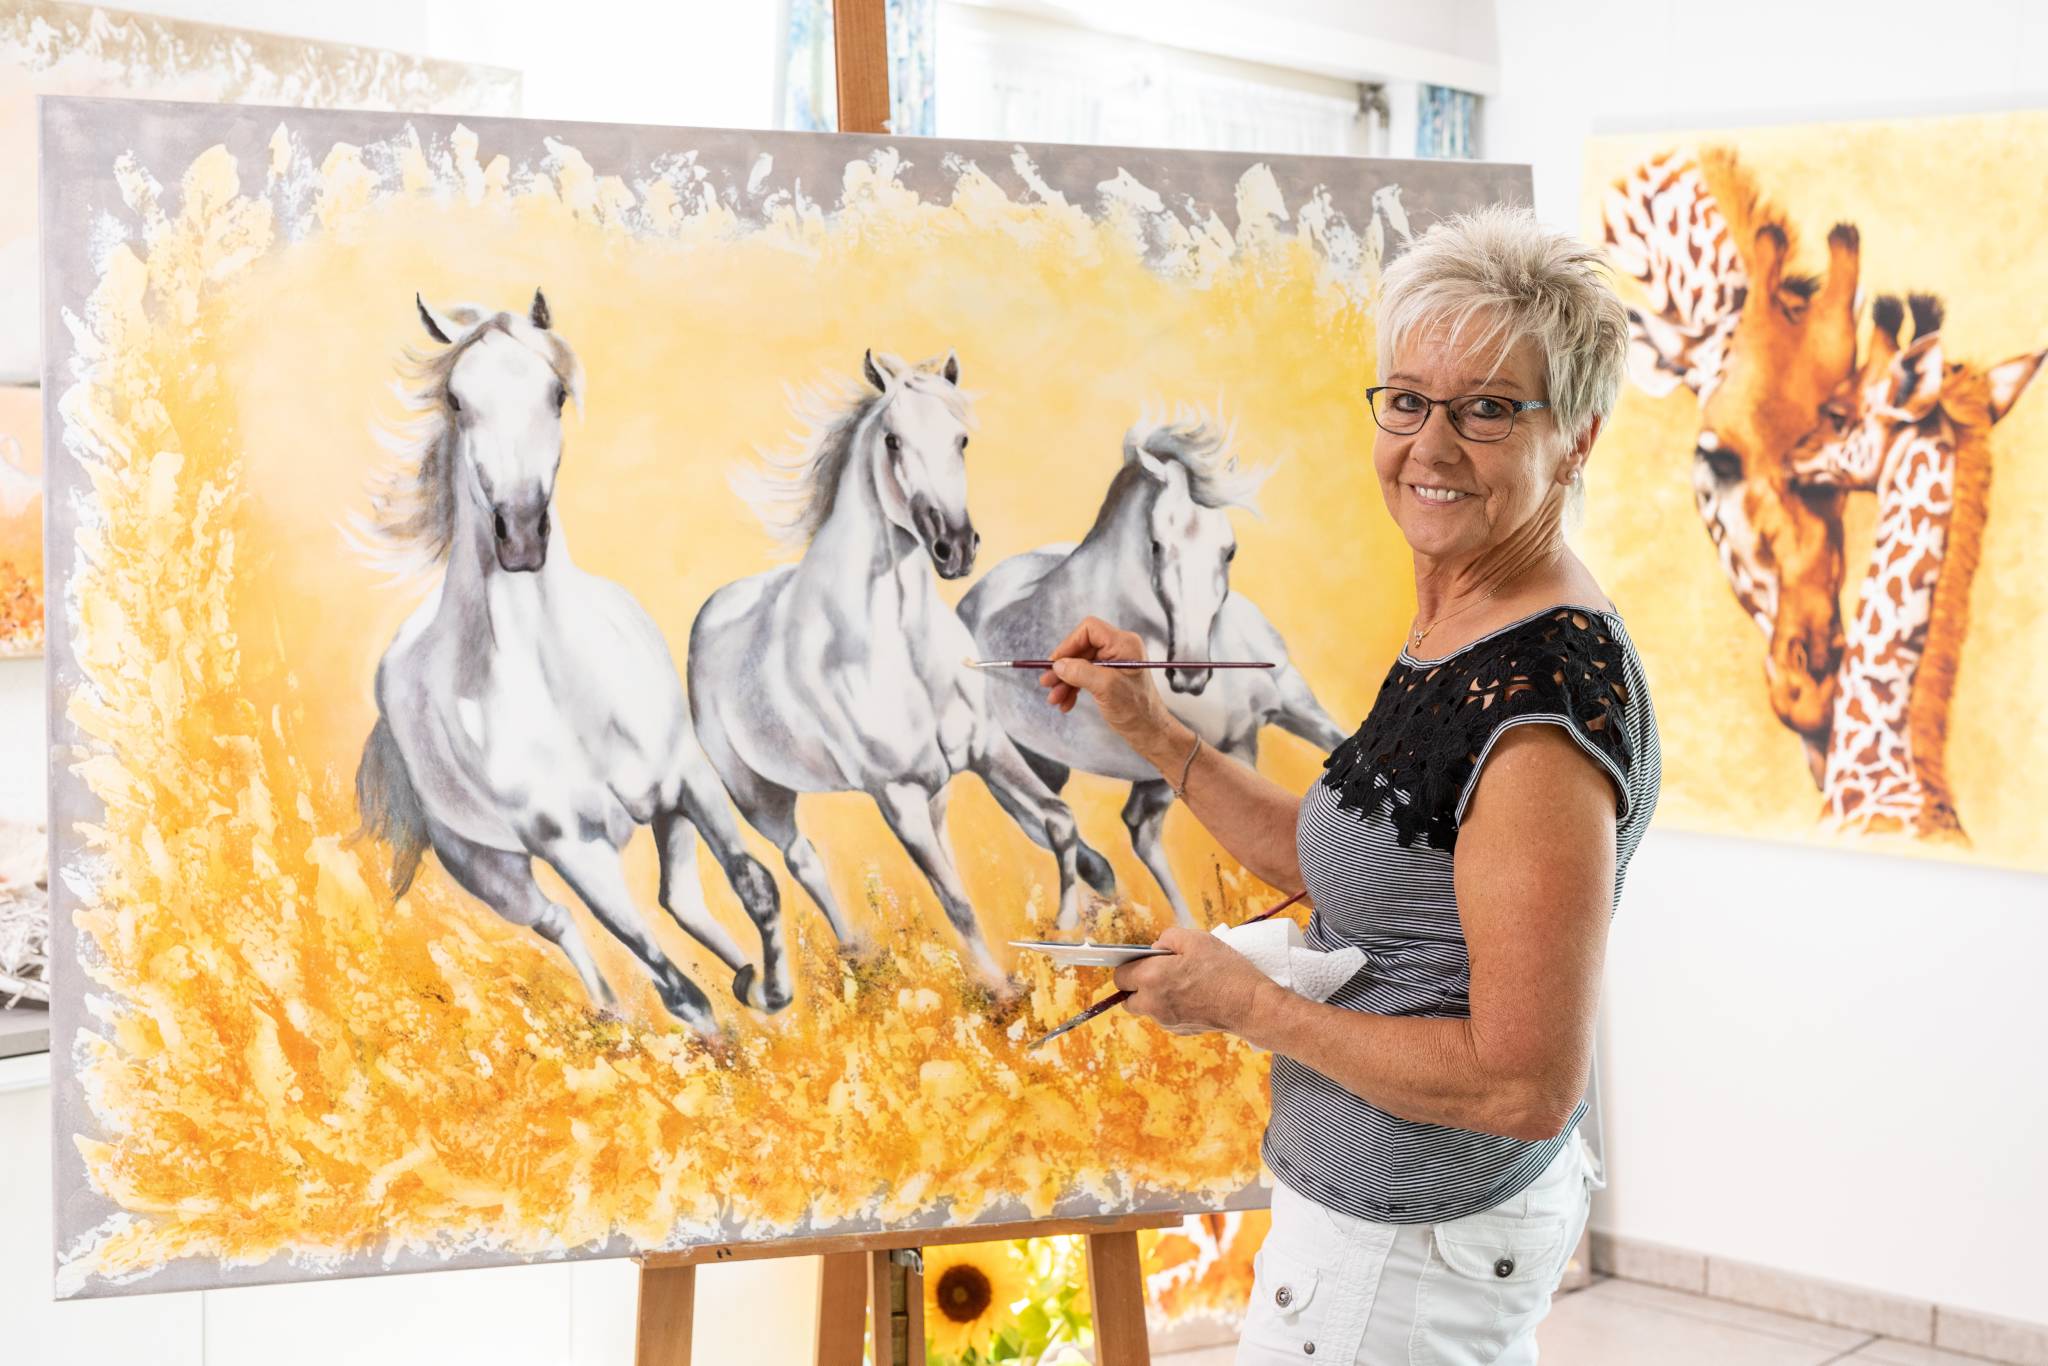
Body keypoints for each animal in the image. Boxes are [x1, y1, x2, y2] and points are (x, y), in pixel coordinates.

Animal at [352, 290, 790, 1034]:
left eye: (556, 394)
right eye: (456, 400)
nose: (522, 535)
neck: (562, 688)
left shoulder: (685, 777)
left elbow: (754, 884)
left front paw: (775, 990)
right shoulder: (571, 848)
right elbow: (675, 988)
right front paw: (728, 1030)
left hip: (660, 812)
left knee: (680, 898)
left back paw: (745, 976)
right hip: (491, 870)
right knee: (560, 920)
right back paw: (613, 1010)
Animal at [687, 349, 1116, 985]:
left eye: (961, 438)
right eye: (892, 441)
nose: (955, 548)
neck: (901, 651)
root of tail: (711, 611)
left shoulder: (987, 748)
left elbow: (1060, 821)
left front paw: (1067, 926)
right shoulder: (895, 795)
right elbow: (955, 899)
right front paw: (1001, 989)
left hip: (933, 791)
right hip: (760, 798)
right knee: (801, 860)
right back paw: (858, 954)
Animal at [958, 410, 1345, 925]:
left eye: (1230, 550)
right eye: (1158, 546)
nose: (1190, 674)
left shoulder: (1291, 710)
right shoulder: (1230, 748)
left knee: (1131, 827)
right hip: (1037, 760)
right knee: (1050, 819)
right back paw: (1098, 893)